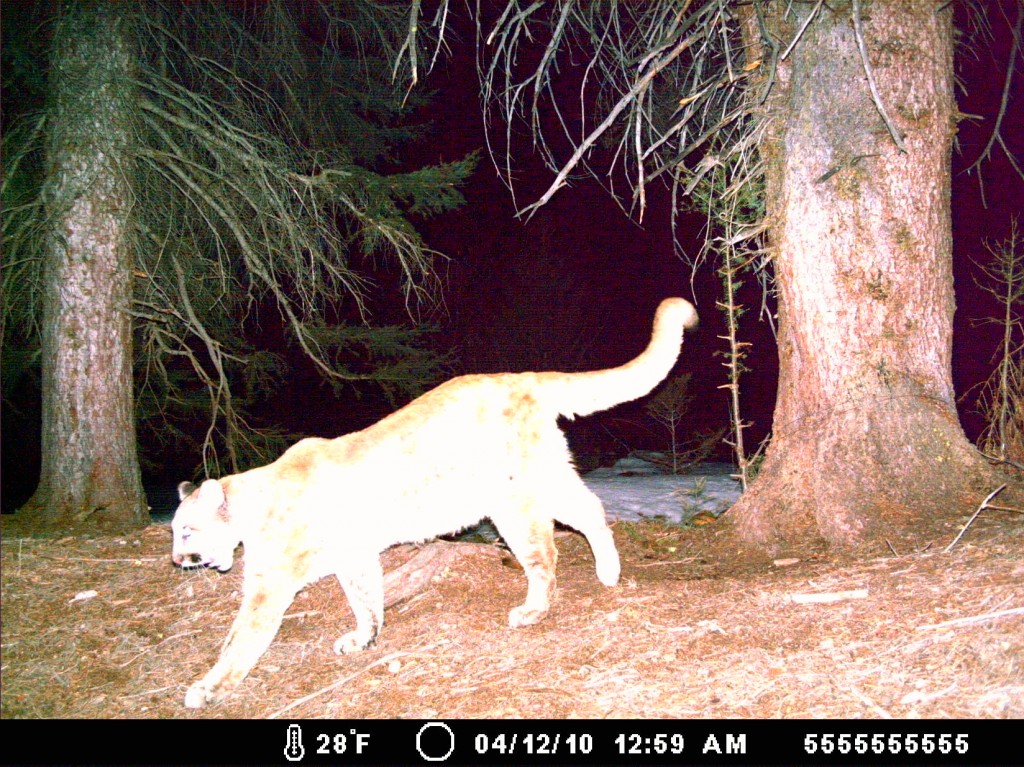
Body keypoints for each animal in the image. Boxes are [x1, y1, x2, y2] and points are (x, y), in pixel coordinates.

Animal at [171, 297, 698, 708]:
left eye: (185, 530)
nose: (177, 560)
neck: (252, 500)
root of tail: (521, 376)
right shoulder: (354, 558)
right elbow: (366, 601)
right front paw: (364, 639)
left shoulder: (270, 584)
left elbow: (240, 641)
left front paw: (206, 690)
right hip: (547, 479)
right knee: (591, 510)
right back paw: (608, 573)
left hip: (514, 502)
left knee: (545, 555)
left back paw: (532, 612)